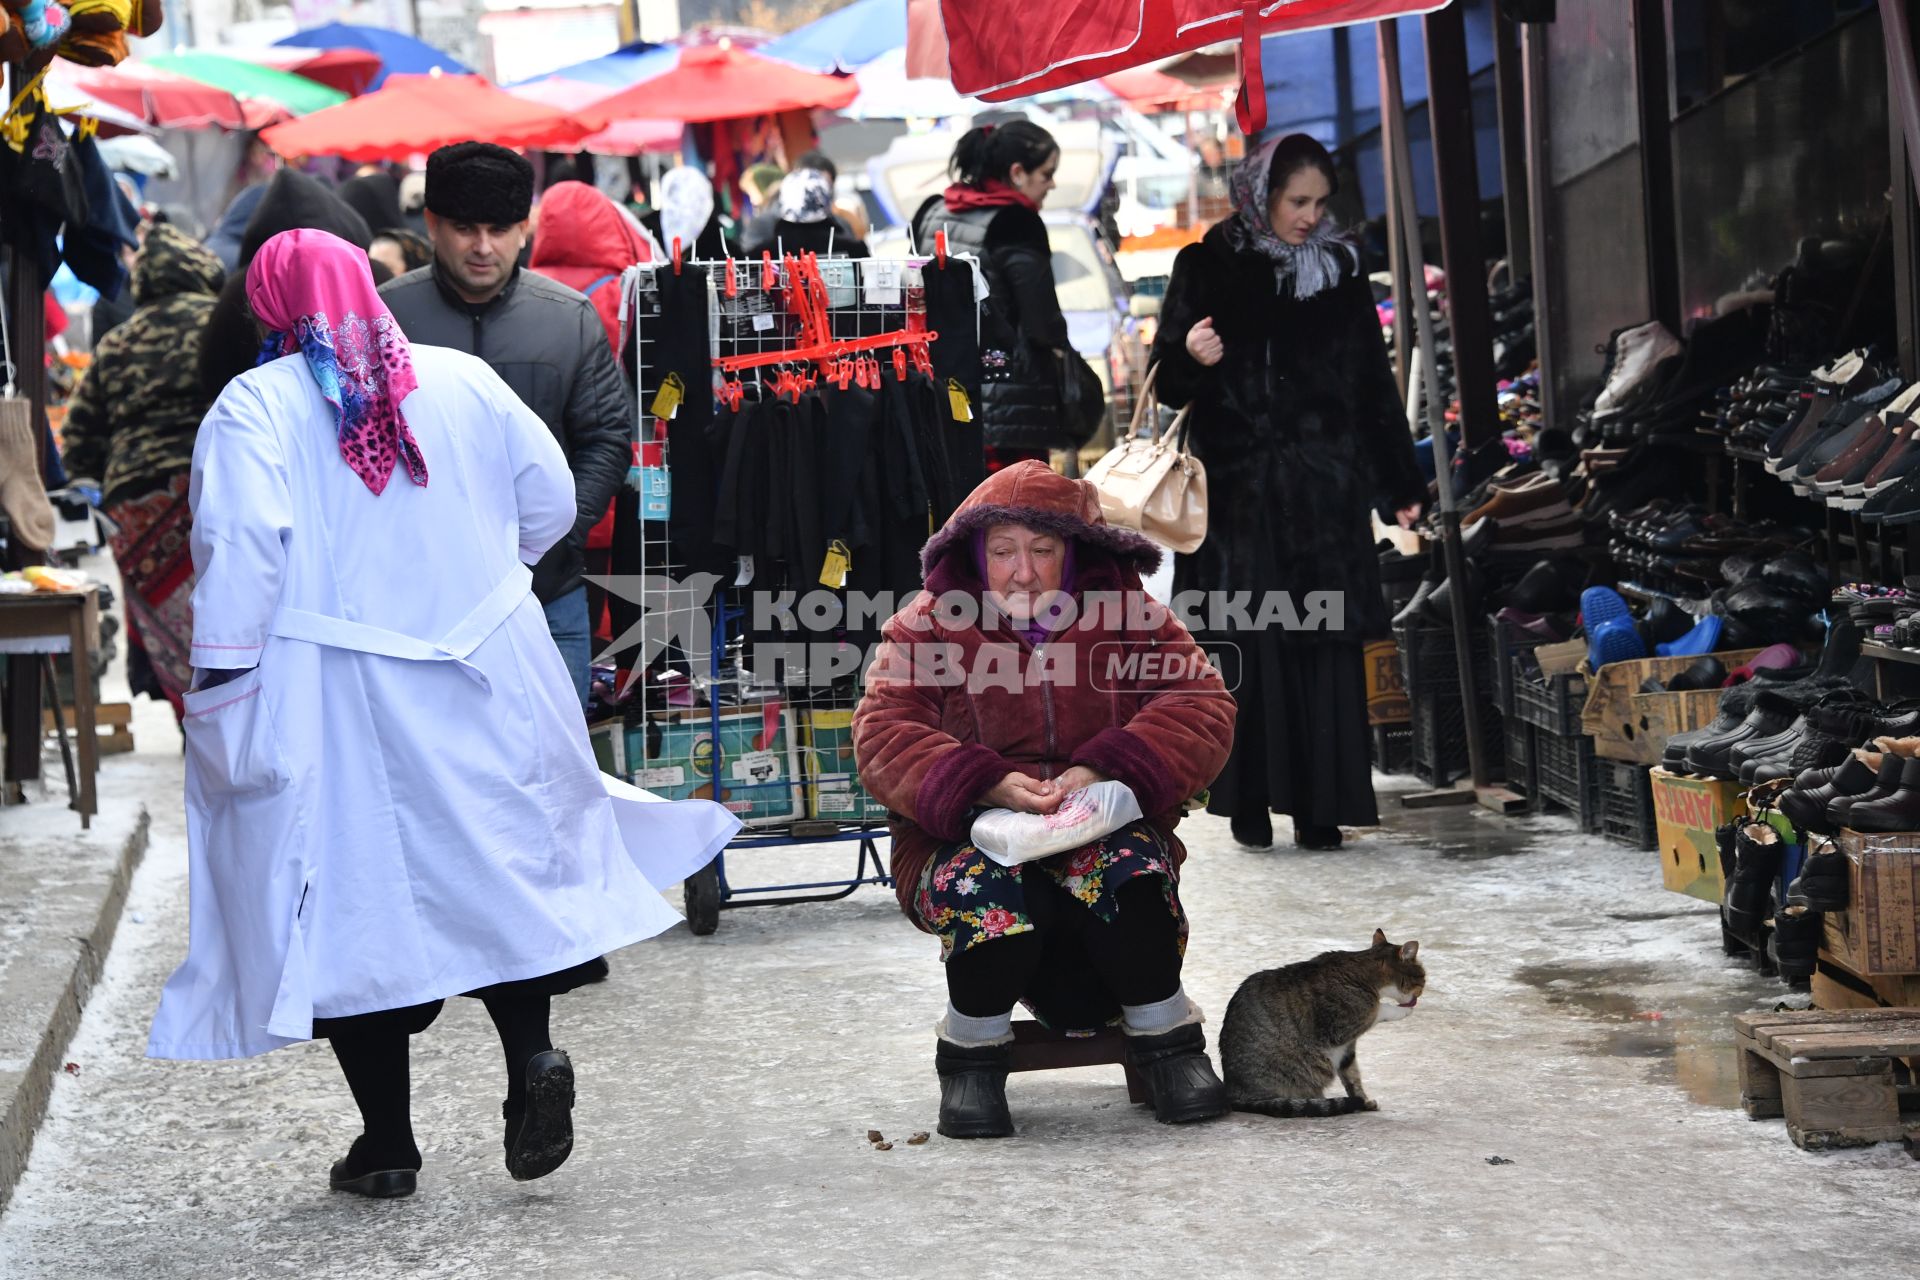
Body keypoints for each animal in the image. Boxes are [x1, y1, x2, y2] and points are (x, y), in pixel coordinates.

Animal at [1213, 924, 1428, 1113]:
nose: (1420, 994)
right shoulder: (1343, 1026)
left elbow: (1353, 1079)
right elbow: (1378, 1009)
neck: (1363, 971)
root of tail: (1233, 1093)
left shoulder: (1347, 1049)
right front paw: (1401, 1011)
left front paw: (1364, 1102)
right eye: (1423, 978)